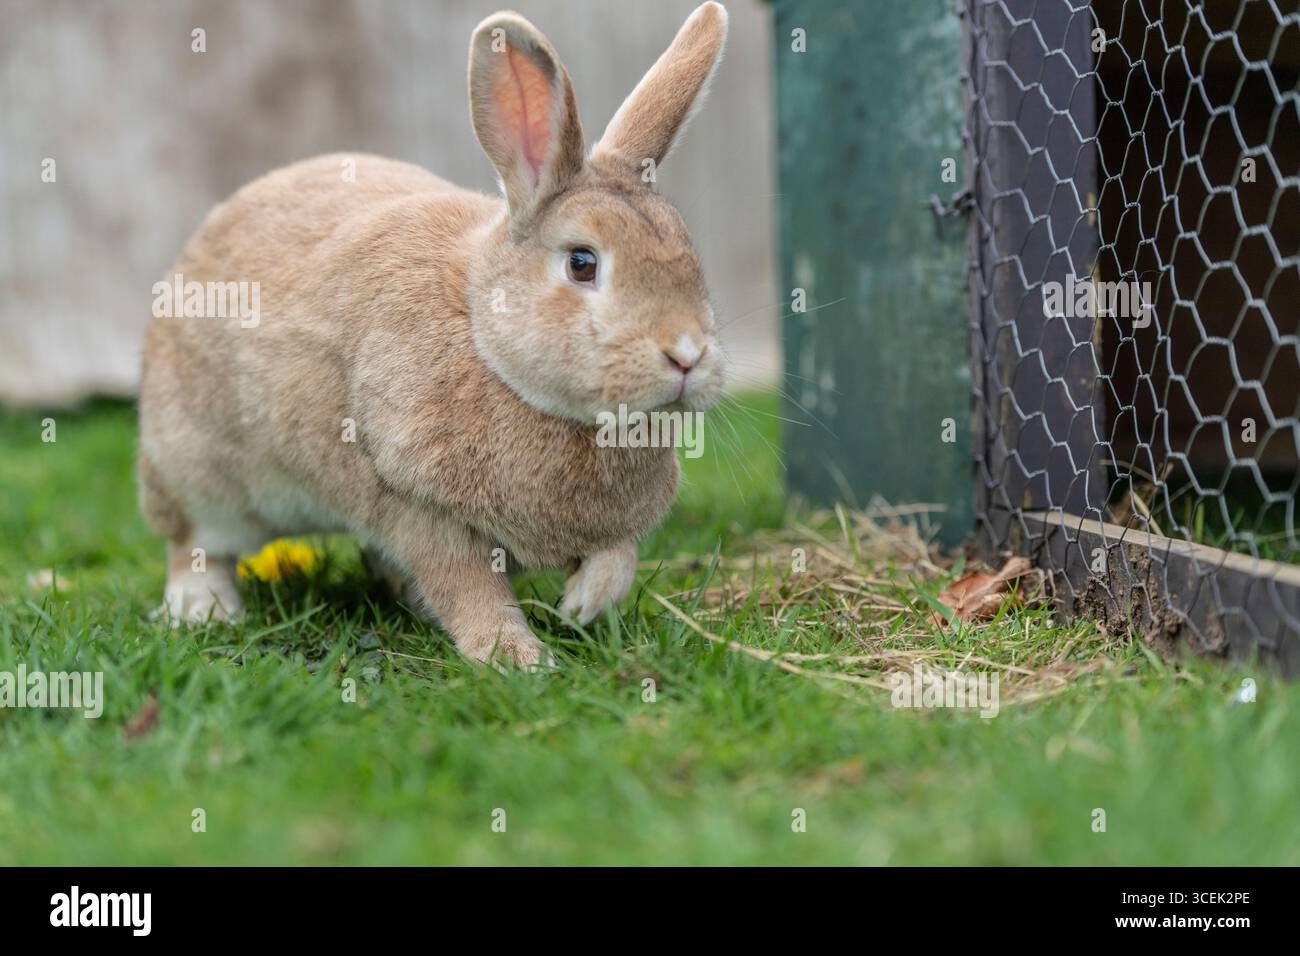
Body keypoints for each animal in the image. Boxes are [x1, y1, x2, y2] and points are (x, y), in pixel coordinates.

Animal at [137, 3, 730, 668]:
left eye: (690, 255)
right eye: (582, 263)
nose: (687, 355)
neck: (484, 336)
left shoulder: (611, 528)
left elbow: (618, 557)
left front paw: (583, 606)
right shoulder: (416, 504)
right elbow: (467, 587)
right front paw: (516, 658)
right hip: (193, 471)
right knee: (194, 546)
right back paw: (204, 610)